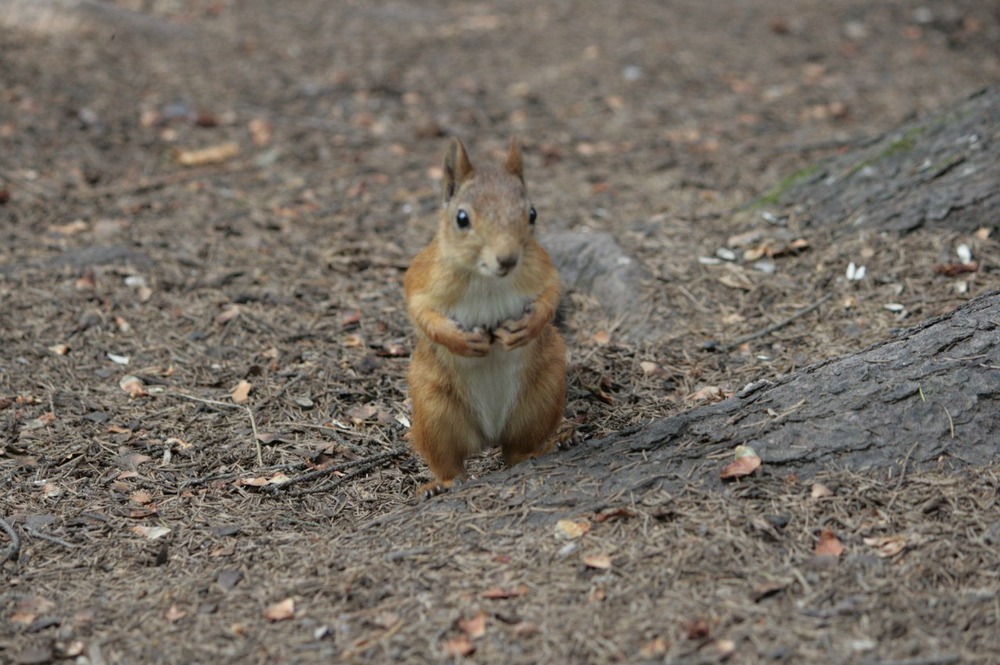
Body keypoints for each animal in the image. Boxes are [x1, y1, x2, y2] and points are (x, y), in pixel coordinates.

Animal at [404, 136, 564, 498]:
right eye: (462, 218)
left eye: (532, 213)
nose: (507, 259)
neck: (487, 278)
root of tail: (489, 434)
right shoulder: (423, 278)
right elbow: (420, 310)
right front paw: (462, 341)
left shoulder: (541, 267)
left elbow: (552, 294)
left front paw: (526, 327)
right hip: (434, 410)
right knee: (450, 462)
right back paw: (441, 484)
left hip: (544, 391)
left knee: (514, 452)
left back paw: (541, 450)